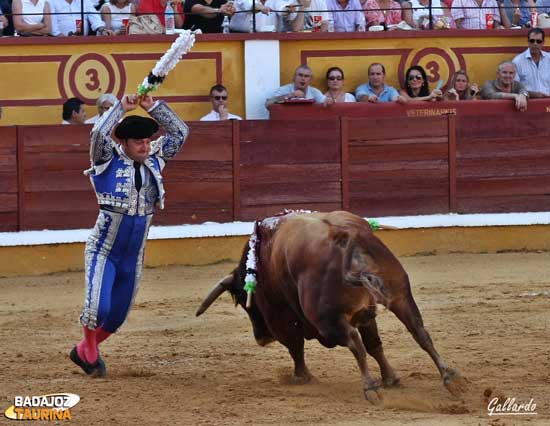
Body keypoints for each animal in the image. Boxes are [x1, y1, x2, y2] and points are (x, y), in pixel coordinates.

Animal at [198, 211, 466, 404]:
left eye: (246, 301)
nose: (261, 338)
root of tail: (346, 235)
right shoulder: (366, 313)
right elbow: (375, 345)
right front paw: (391, 379)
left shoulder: (282, 317)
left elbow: (295, 346)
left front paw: (301, 377)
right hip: (400, 295)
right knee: (419, 332)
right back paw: (450, 378)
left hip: (327, 320)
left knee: (354, 342)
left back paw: (370, 388)